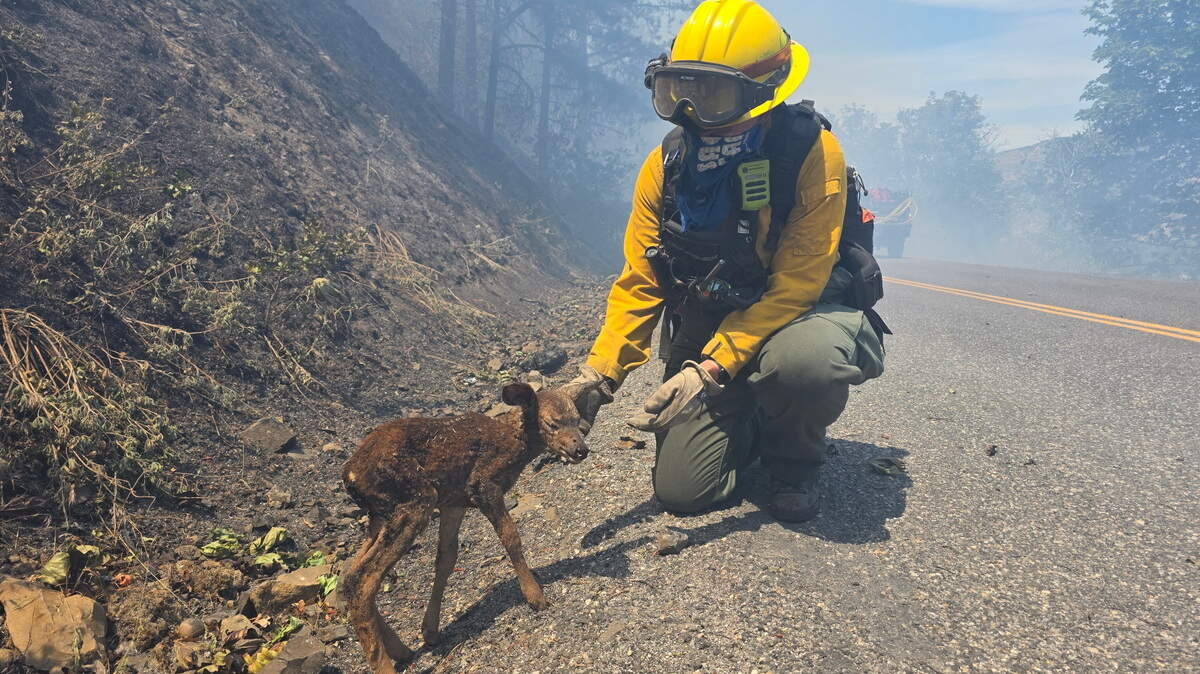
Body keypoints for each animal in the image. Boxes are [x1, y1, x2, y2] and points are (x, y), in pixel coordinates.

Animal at [340, 379, 600, 673]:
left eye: (577, 420)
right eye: (552, 423)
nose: (581, 450)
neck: (514, 445)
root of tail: (349, 477)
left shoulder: (454, 501)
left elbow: (446, 558)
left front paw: (430, 630)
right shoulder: (482, 484)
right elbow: (511, 536)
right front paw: (535, 596)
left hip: (381, 516)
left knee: (348, 575)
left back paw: (401, 649)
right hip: (415, 499)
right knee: (363, 580)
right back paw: (385, 662)